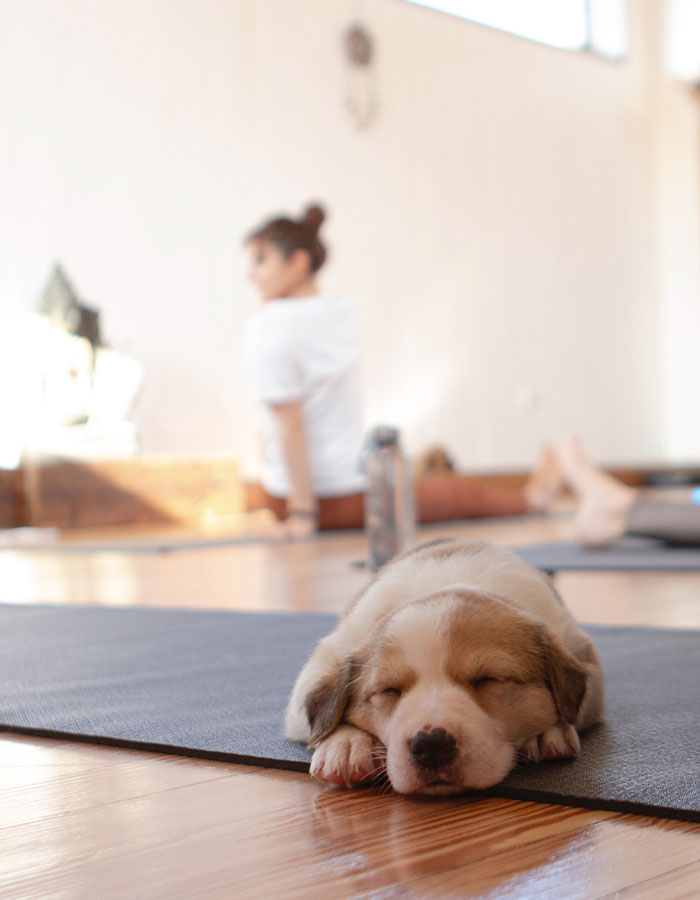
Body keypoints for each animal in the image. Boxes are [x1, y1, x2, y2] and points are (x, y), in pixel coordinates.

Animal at [288, 536, 604, 792]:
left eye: (488, 679)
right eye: (389, 690)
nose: (430, 744)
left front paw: (545, 732)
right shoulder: (326, 661)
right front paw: (346, 745)